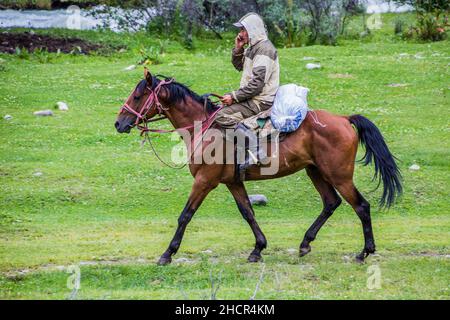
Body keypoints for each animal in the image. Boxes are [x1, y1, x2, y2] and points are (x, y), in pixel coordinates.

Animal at [114, 70, 402, 264]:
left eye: (138, 96)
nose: (119, 123)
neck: (203, 127)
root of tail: (343, 119)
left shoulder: (204, 181)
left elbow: (186, 215)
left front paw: (167, 253)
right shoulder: (233, 182)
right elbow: (248, 212)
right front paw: (258, 248)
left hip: (339, 175)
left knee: (361, 206)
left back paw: (364, 252)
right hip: (315, 171)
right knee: (331, 203)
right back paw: (305, 243)